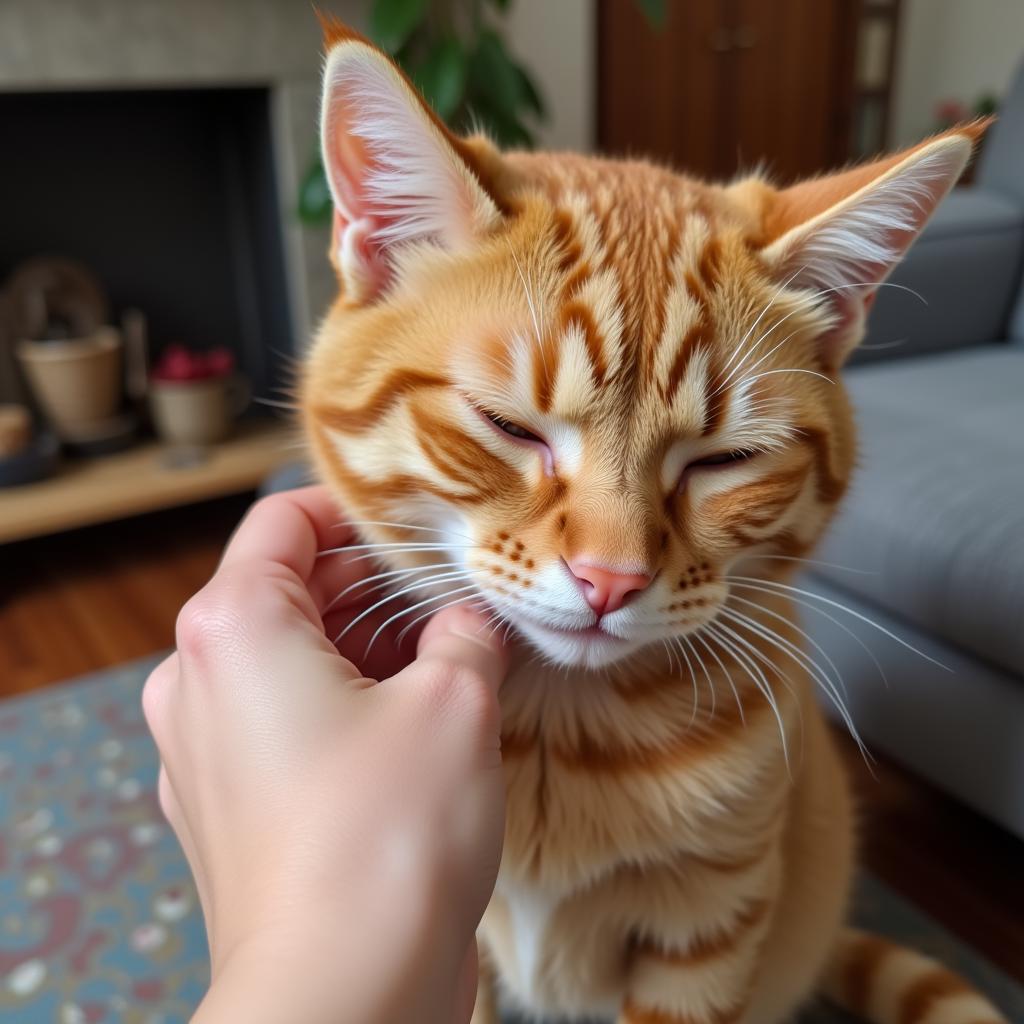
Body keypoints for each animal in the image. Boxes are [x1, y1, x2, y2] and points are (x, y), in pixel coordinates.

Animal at [299, 19, 1003, 1024]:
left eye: (724, 460)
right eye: (510, 426)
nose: (611, 580)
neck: (555, 730)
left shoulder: (706, 941)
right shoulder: (451, 949)